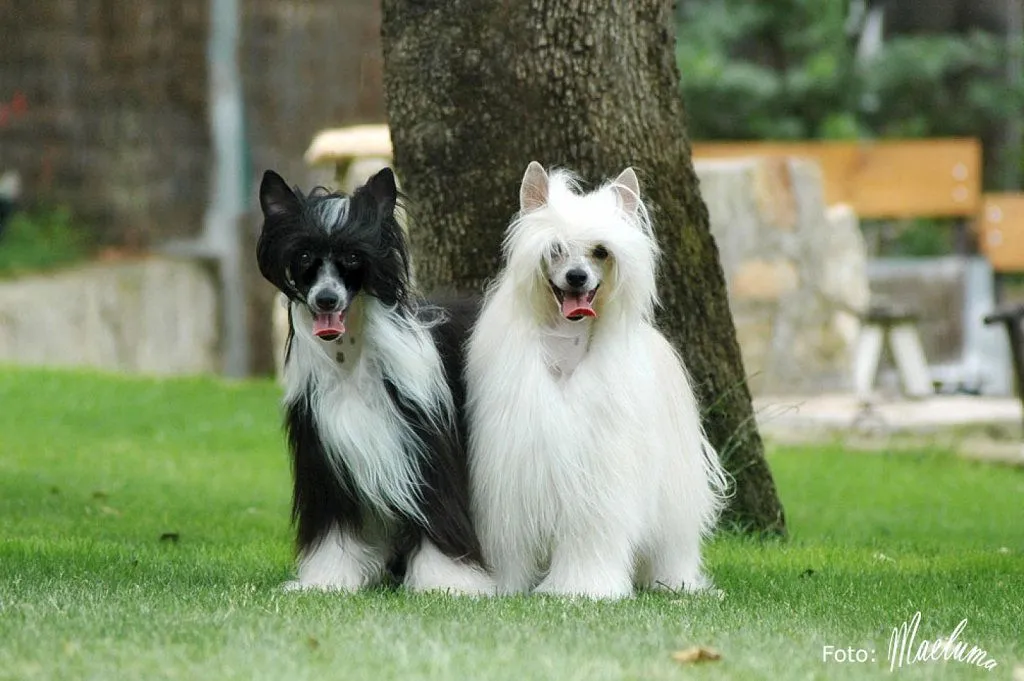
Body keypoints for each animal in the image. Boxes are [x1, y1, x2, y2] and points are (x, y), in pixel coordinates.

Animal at [258, 166, 493, 593]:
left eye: (354, 256)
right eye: (304, 256)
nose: (326, 299)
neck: (351, 362)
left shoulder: (425, 451)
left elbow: (438, 516)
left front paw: (448, 583)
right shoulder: (327, 461)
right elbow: (336, 532)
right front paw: (328, 580)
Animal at [464, 161, 729, 598]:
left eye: (601, 252)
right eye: (555, 249)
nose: (576, 277)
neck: (567, 347)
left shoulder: (600, 473)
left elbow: (591, 533)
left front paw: (583, 587)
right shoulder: (513, 468)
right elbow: (510, 540)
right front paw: (504, 586)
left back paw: (675, 583)